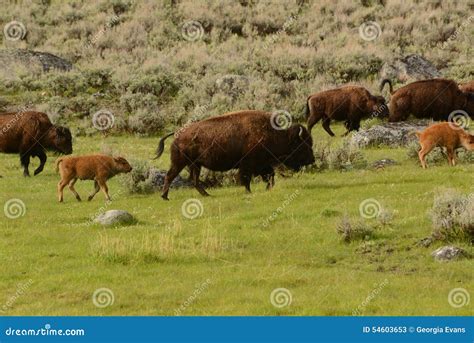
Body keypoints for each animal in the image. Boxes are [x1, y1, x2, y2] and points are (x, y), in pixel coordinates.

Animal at [155, 111, 314, 199]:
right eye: (303, 145)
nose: (312, 159)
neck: (276, 134)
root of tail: (177, 134)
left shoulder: (262, 165)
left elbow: (270, 175)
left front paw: (267, 188)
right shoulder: (249, 165)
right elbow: (246, 179)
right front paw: (249, 192)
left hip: (195, 165)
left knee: (194, 181)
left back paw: (207, 195)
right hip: (179, 163)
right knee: (170, 176)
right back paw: (164, 197)